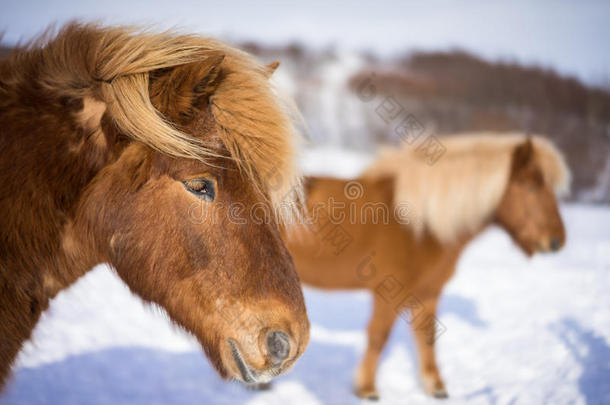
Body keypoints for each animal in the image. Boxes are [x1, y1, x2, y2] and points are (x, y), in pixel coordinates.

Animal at [286, 133, 568, 398]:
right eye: (531, 186)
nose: (556, 241)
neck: (418, 225)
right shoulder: (388, 293)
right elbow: (378, 337)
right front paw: (367, 388)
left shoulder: (429, 292)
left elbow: (427, 336)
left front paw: (436, 387)